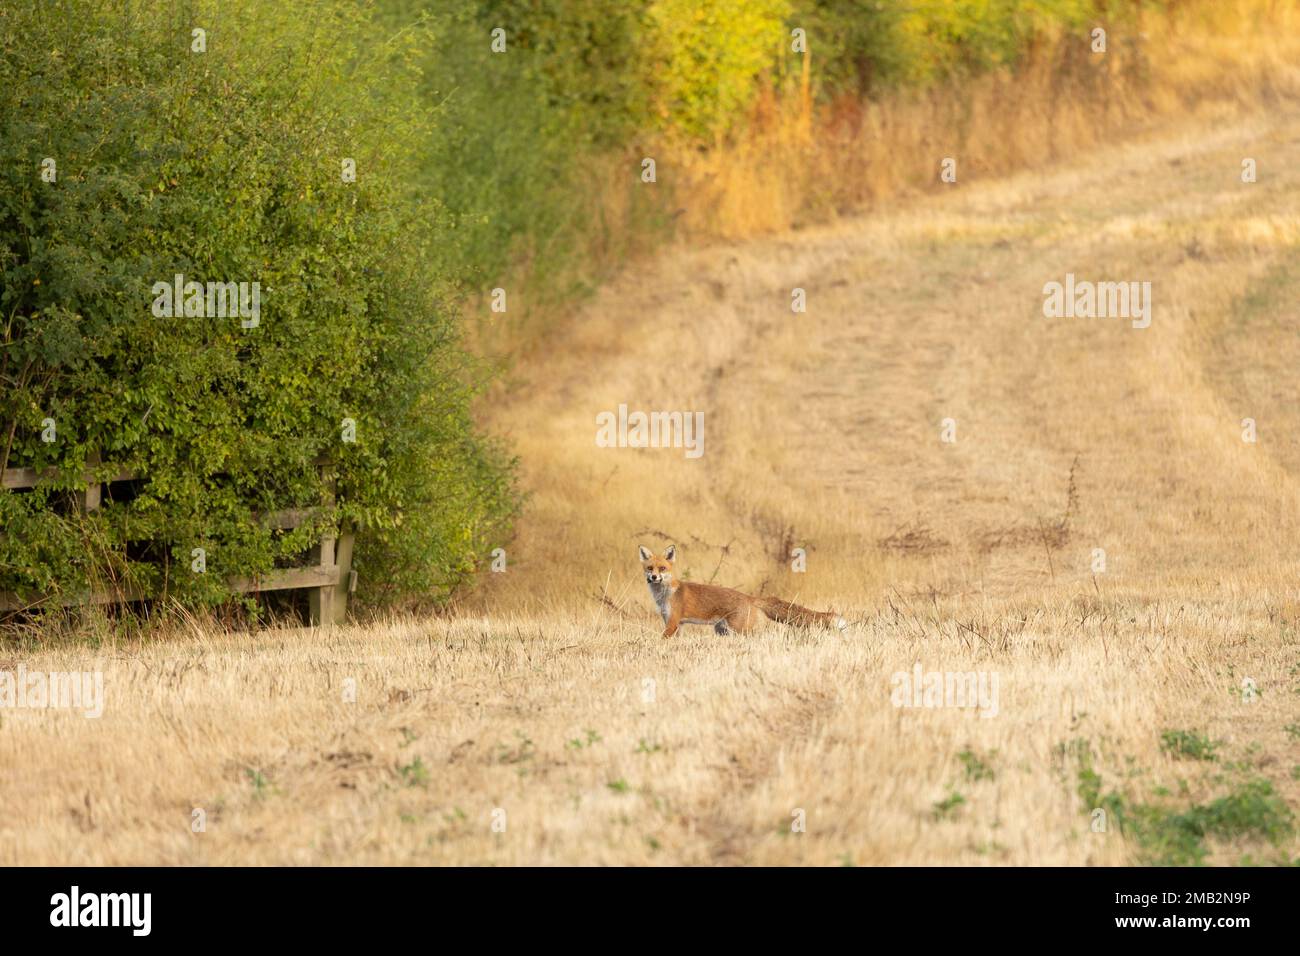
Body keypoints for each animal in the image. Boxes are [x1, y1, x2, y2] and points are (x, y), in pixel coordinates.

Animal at [639, 544, 847, 637]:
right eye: (650, 568)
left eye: (662, 568)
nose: (654, 577)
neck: (664, 594)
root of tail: (750, 597)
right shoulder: (675, 623)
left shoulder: (673, 622)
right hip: (722, 630)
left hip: (738, 629)